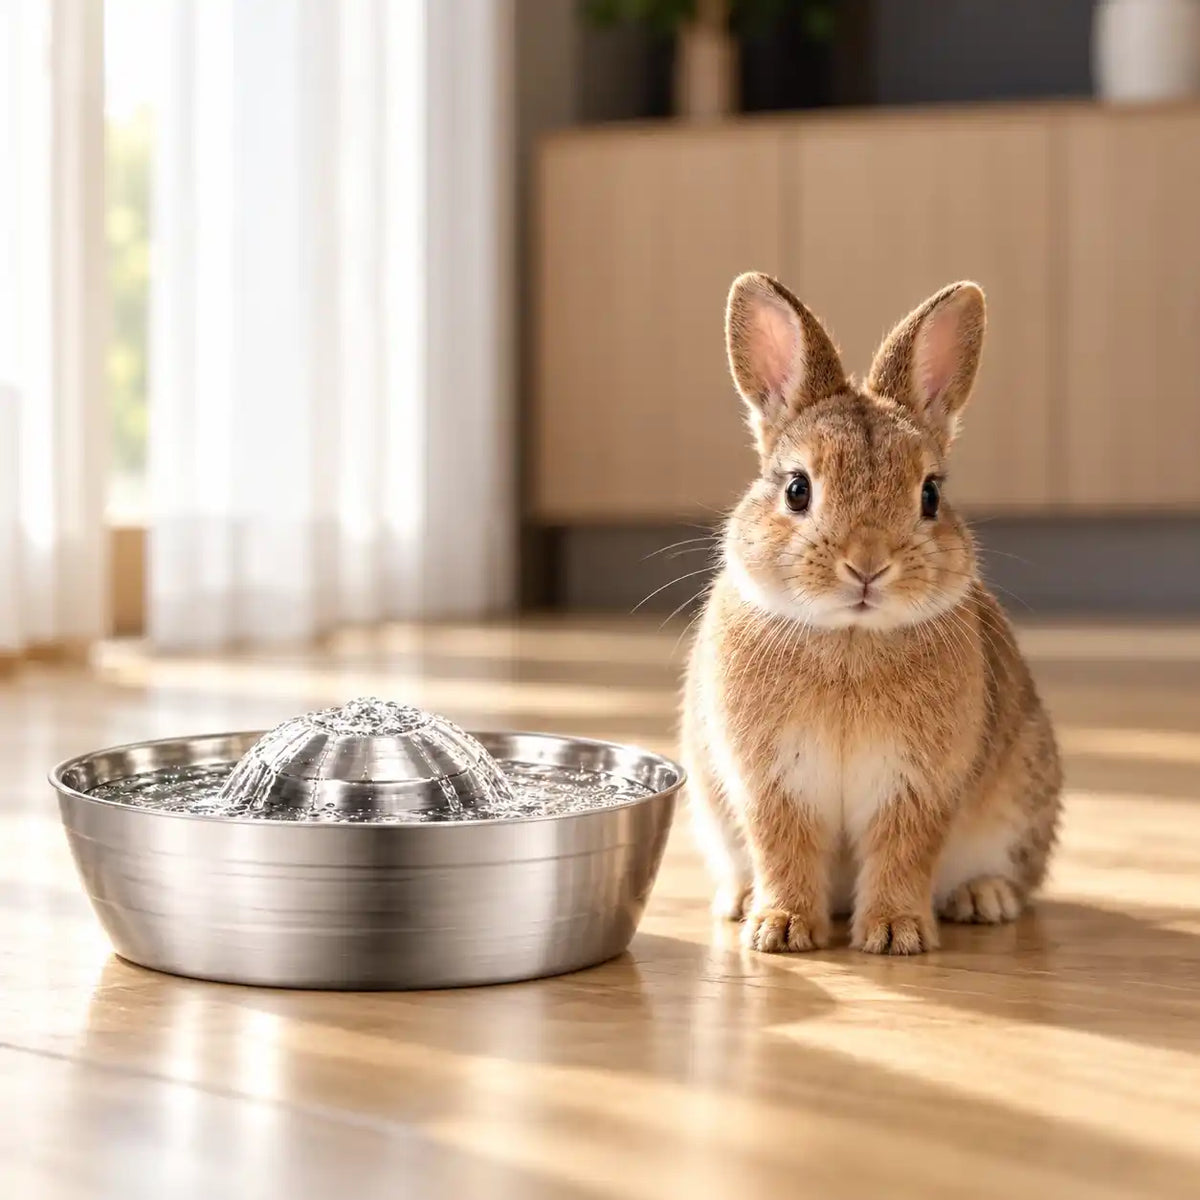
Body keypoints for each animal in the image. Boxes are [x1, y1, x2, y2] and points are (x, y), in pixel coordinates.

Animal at [681, 272, 1062, 955]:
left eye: (930, 494)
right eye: (796, 489)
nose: (866, 565)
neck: (849, 636)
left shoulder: (915, 787)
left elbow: (901, 853)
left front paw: (893, 934)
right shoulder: (772, 783)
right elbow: (783, 848)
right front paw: (779, 930)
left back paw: (982, 898)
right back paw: (742, 902)